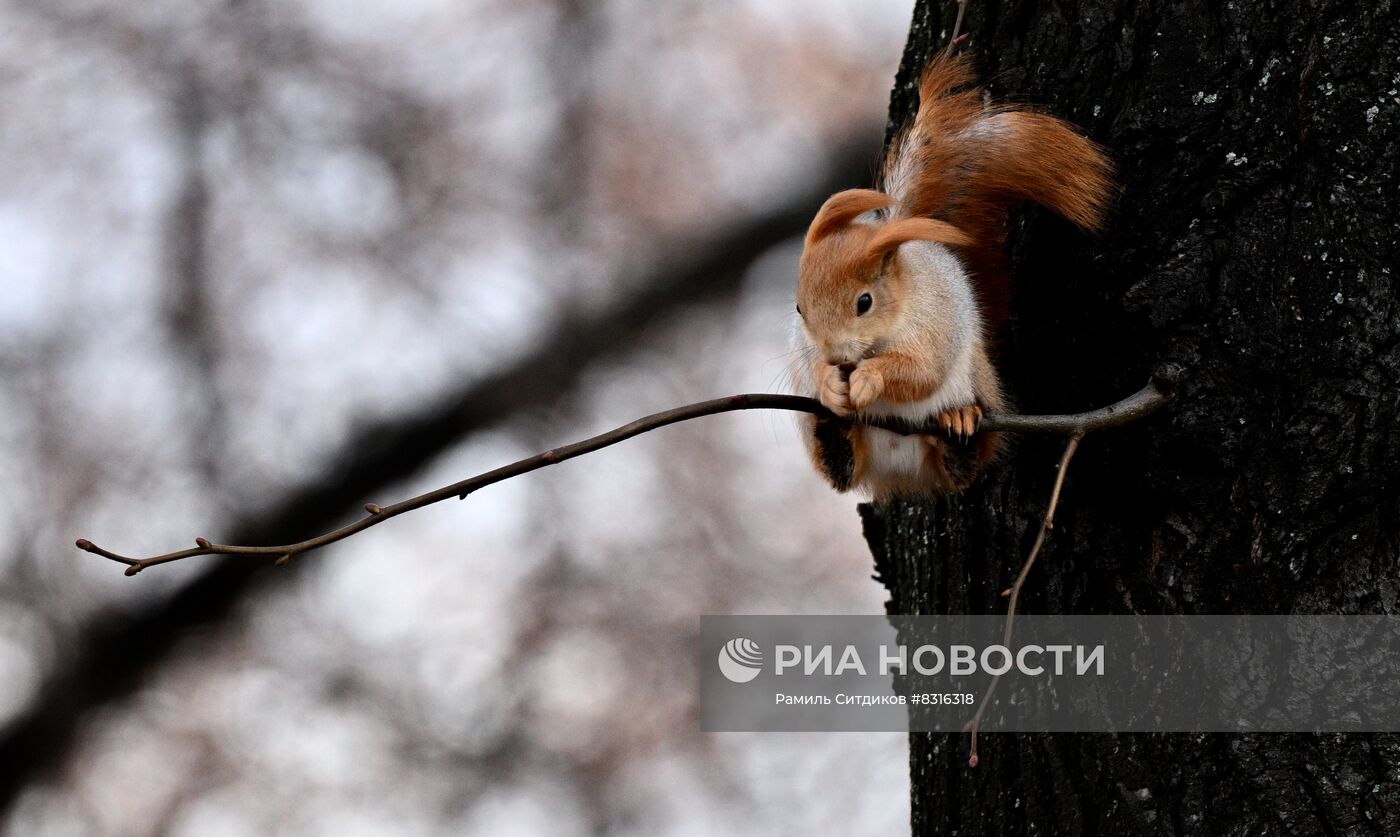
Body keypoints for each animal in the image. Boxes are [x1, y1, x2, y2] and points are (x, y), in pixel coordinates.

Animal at [795, 55, 1108, 498]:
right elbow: (814, 368)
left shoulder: (935, 323)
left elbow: (921, 372)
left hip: (978, 382)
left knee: (965, 460)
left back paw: (959, 423)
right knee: (840, 469)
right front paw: (828, 383)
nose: (837, 357)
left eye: (864, 302)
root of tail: (905, 473)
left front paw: (870, 377)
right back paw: (831, 427)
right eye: (799, 309)